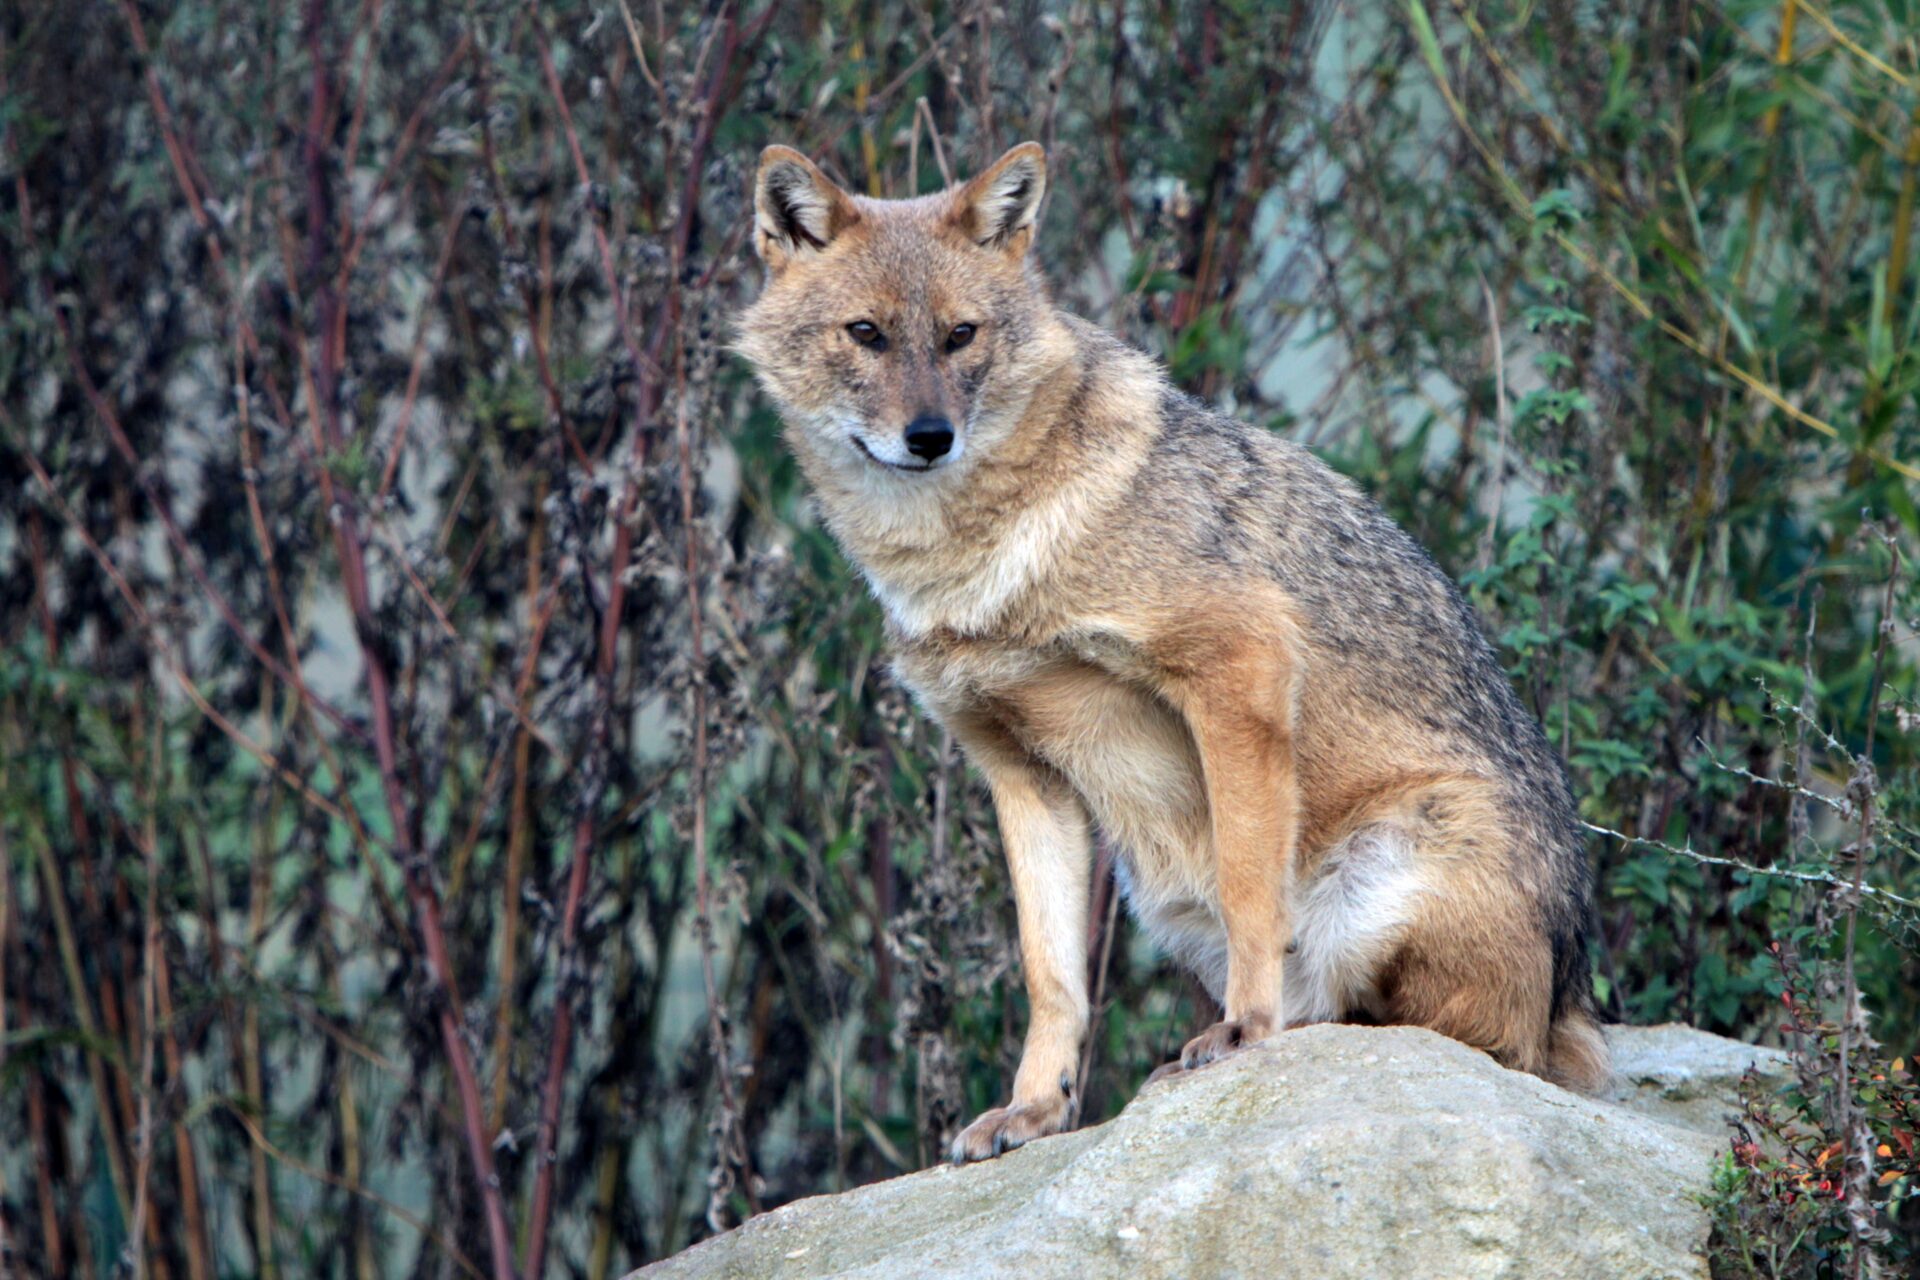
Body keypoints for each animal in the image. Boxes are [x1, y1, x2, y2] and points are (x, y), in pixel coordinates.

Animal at [735, 140, 1609, 1164]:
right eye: (866, 334)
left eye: (960, 336)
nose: (928, 437)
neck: (975, 563)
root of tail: (1570, 1002)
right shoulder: (1019, 772)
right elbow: (1050, 975)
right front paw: (1033, 1112)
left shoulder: (1240, 667)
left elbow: (1249, 888)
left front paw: (1244, 1032)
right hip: (1158, 893)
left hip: (1383, 878)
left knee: (1457, 1041)